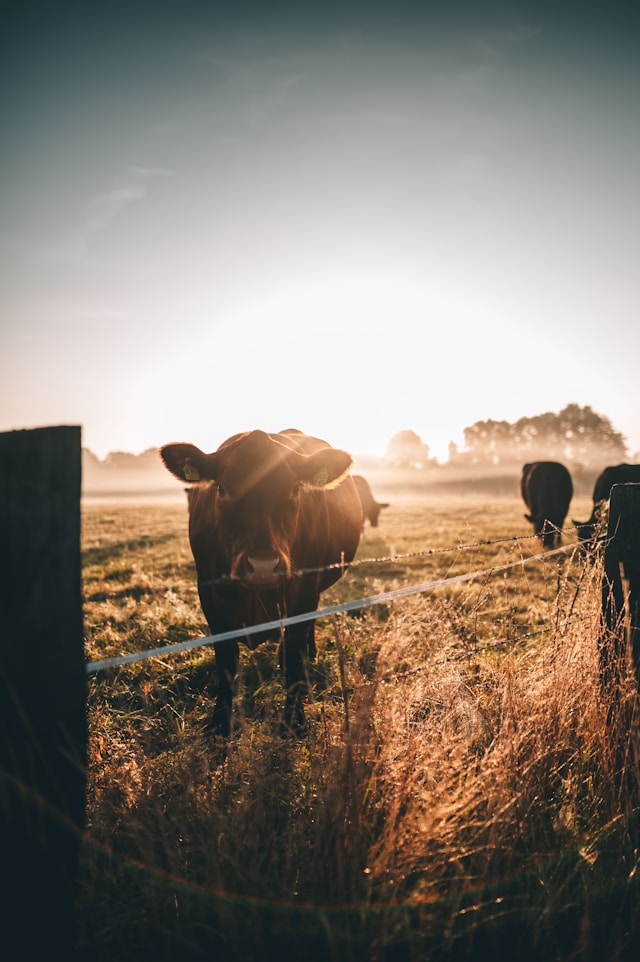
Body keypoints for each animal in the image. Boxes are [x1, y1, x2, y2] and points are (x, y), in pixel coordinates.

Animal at [160, 428, 362, 736]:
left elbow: (293, 652)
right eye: (221, 488)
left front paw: (294, 720)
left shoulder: (304, 588)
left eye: (295, 489)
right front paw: (220, 723)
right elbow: (226, 659)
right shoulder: (208, 591)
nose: (263, 566)